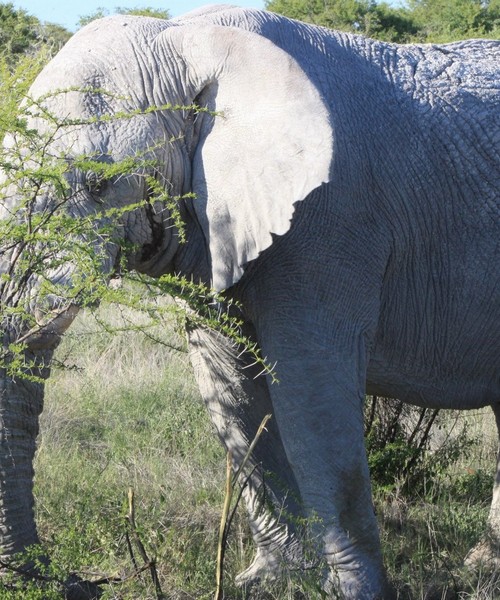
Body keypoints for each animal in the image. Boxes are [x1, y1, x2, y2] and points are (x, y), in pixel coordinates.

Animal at [0, 4, 500, 600]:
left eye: (103, 185)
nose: (78, 583)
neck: (190, 36)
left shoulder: (330, 220)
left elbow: (313, 396)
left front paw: (350, 593)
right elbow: (231, 389)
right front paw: (270, 582)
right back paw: (483, 567)